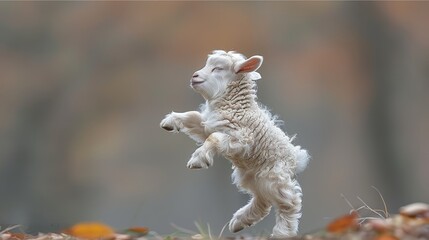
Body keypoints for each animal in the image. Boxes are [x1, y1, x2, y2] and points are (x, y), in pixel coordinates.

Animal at [159, 50, 310, 238]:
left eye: (218, 68)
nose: (195, 76)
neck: (234, 106)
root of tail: (296, 158)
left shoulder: (242, 139)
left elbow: (214, 138)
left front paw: (197, 160)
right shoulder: (206, 125)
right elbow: (192, 116)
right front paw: (170, 122)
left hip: (274, 177)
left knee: (289, 202)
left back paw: (282, 232)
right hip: (253, 177)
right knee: (262, 202)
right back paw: (239, 222)